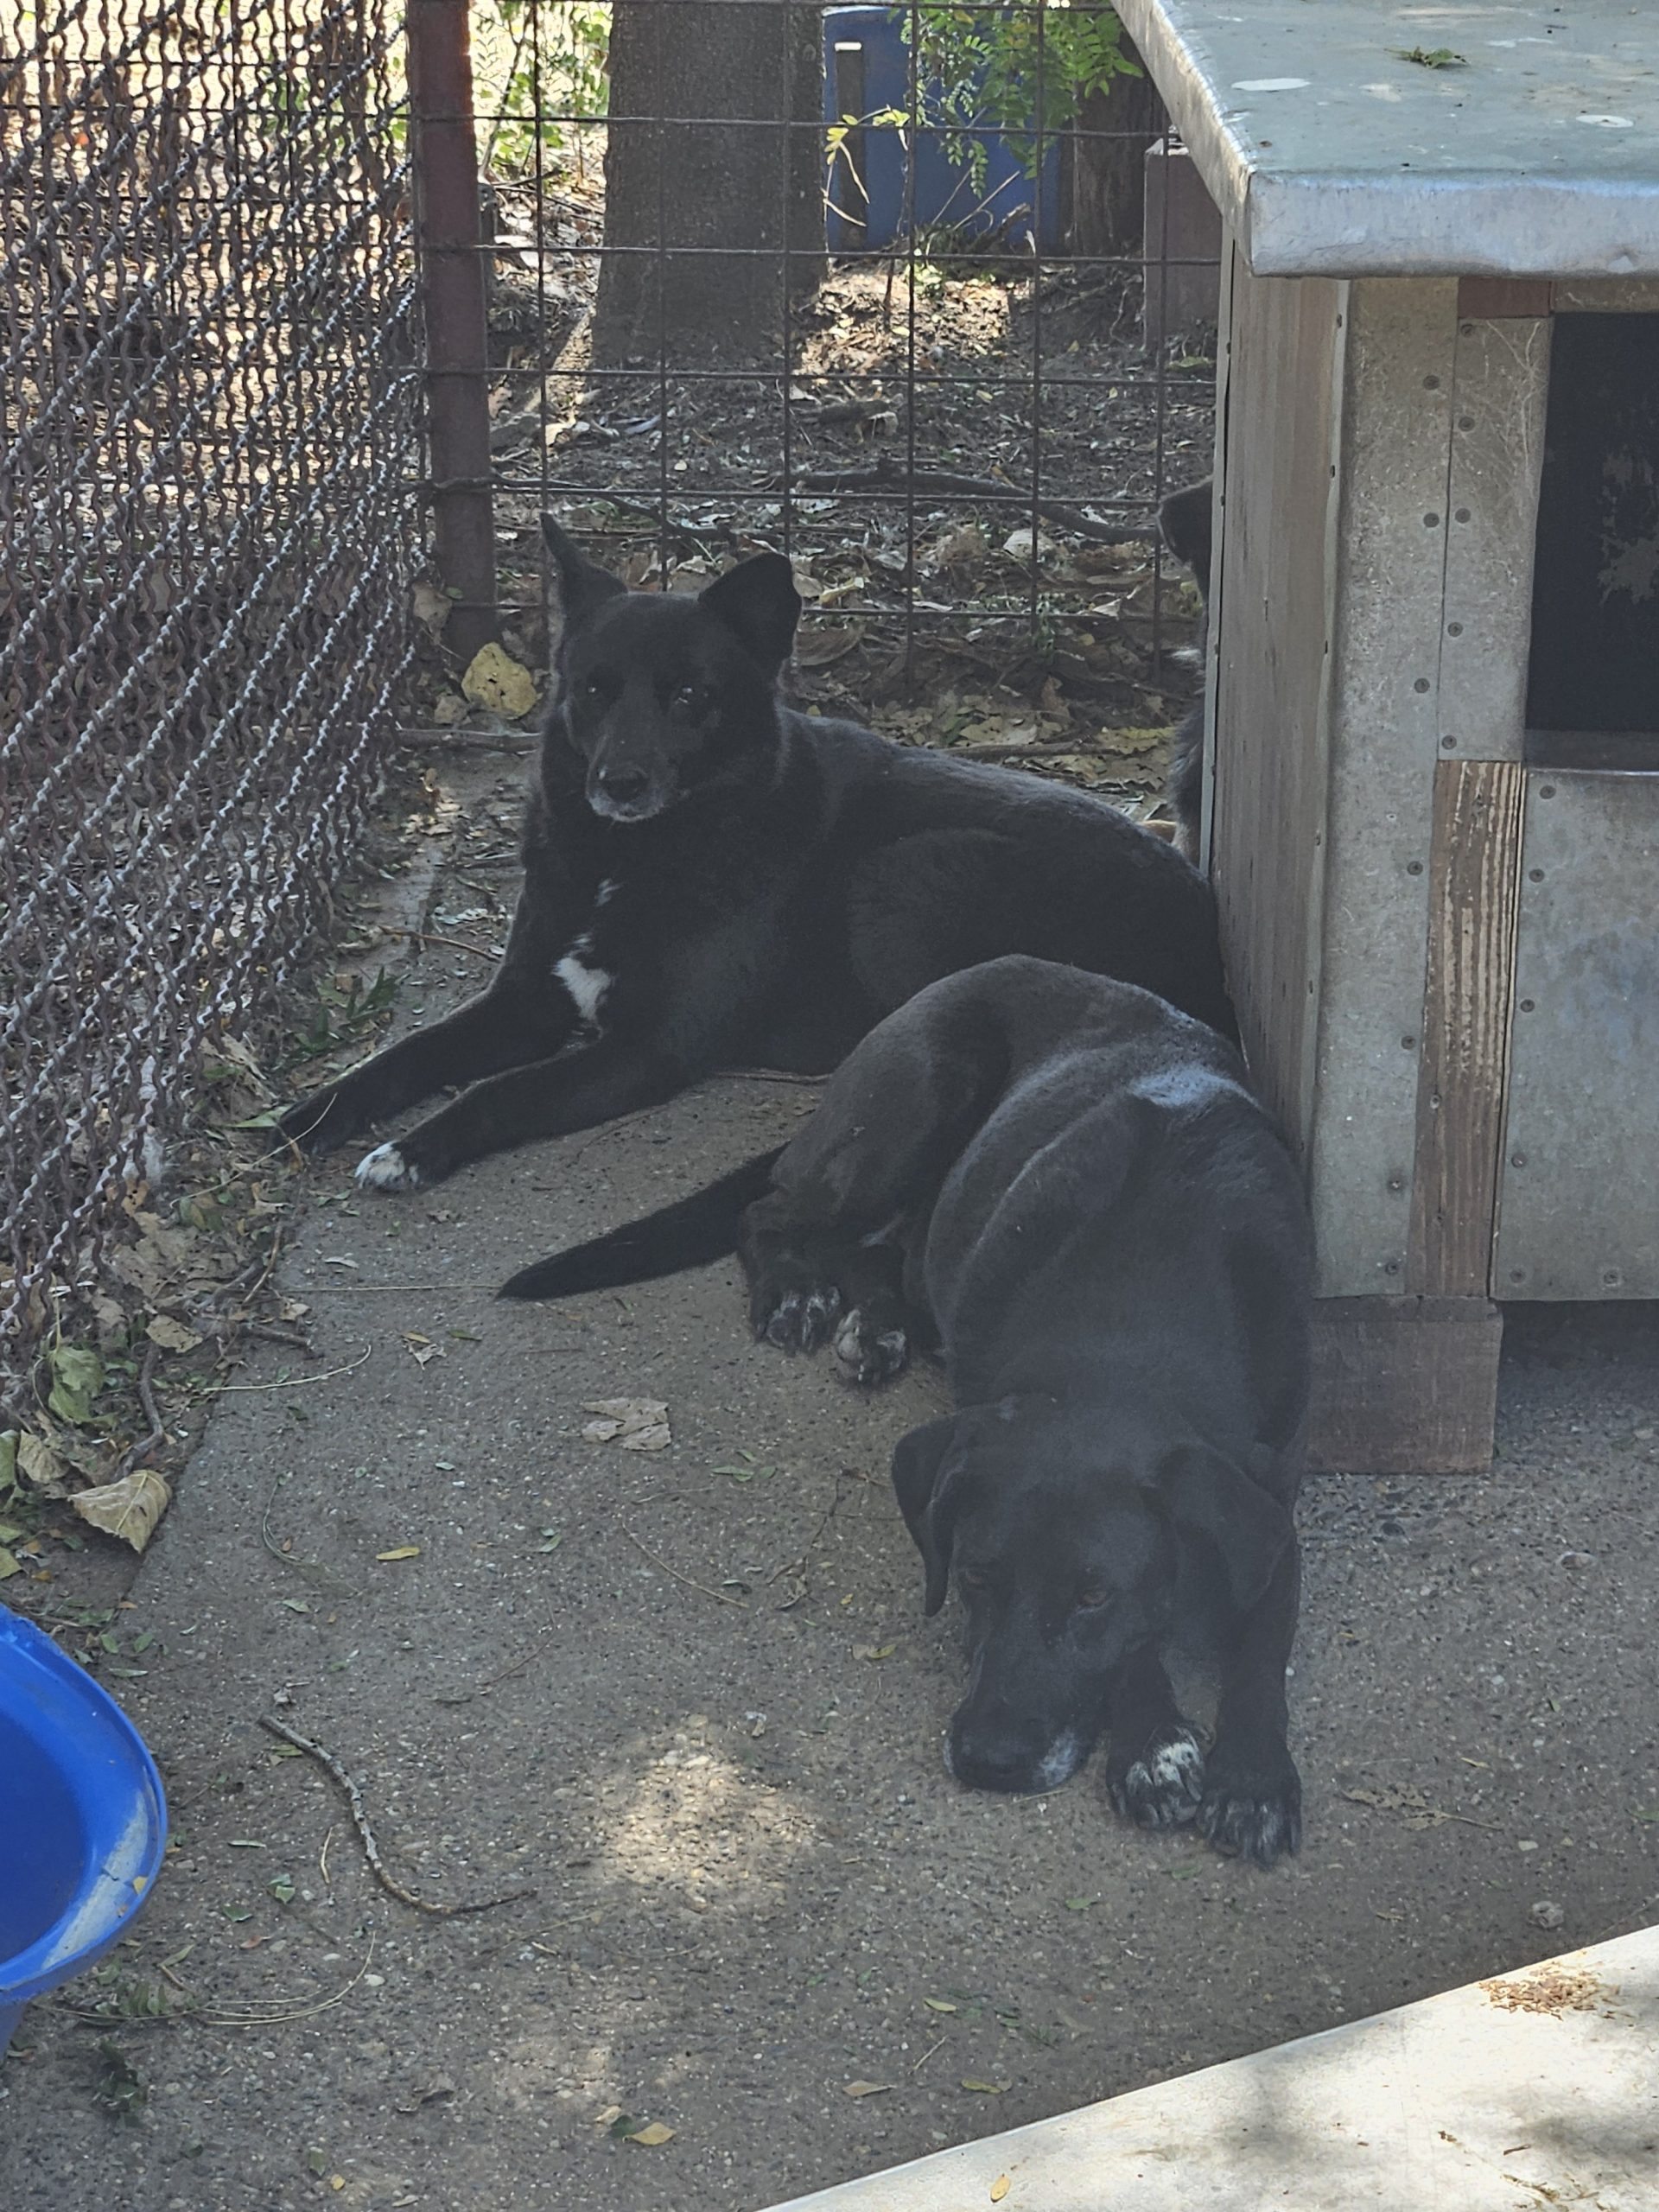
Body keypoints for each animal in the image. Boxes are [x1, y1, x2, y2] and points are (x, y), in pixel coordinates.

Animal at [277, 520, 1236, 1185]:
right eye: (592, 689)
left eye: (689, 696)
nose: (619, 782)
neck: (633, 858)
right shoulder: (527, 1000)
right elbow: (408, 1054)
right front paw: (311, 1116)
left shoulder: (649, 1048)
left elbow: (497, 1090)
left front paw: (413, 1149)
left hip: (901, 880)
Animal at [502, 956, 1313, 1866]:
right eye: (975, 1576)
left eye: (1092, 1597)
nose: (990, 1761)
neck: (1132, 1323)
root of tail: (990, 965)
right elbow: (1144, 1647)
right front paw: (1155, 1745)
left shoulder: (1268, 1513)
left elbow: (1261, 1649)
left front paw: (1251, 1778)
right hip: (916, 1102)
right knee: (774, 1214)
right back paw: (800, 1294)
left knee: (880, 1250)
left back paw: (878, 1325)